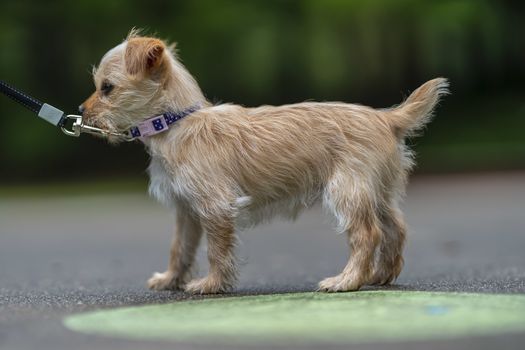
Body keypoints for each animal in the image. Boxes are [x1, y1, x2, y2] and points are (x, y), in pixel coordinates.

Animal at [80, 31, 448, 294]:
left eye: (107, 88)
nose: (82, 112)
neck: (176, 121)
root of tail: (386, 118)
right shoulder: (187, 210)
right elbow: (180, 249)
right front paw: (171, 279)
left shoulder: (216, 206)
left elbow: (216, 251)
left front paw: (212, 285)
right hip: (376, 193)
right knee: (396, 228)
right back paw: (382, 274)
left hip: (346, 191)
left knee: (367, 234)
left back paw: (347, 280)